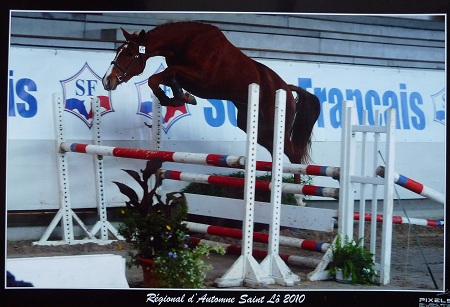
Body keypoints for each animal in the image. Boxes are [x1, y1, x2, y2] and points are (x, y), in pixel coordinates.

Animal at [103, 22, 320, 185]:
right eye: (117, 51)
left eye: (129, 54)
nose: (107, 81)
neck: (186, 43)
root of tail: (287, 88)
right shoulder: (182, 75)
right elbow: (157, 79)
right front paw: (179, 98)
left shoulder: (200, 79)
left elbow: (164, 76)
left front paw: (181, 98)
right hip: (258, 128)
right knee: (278, 152)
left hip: (276, 124)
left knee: (294, 155)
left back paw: (297, 197)